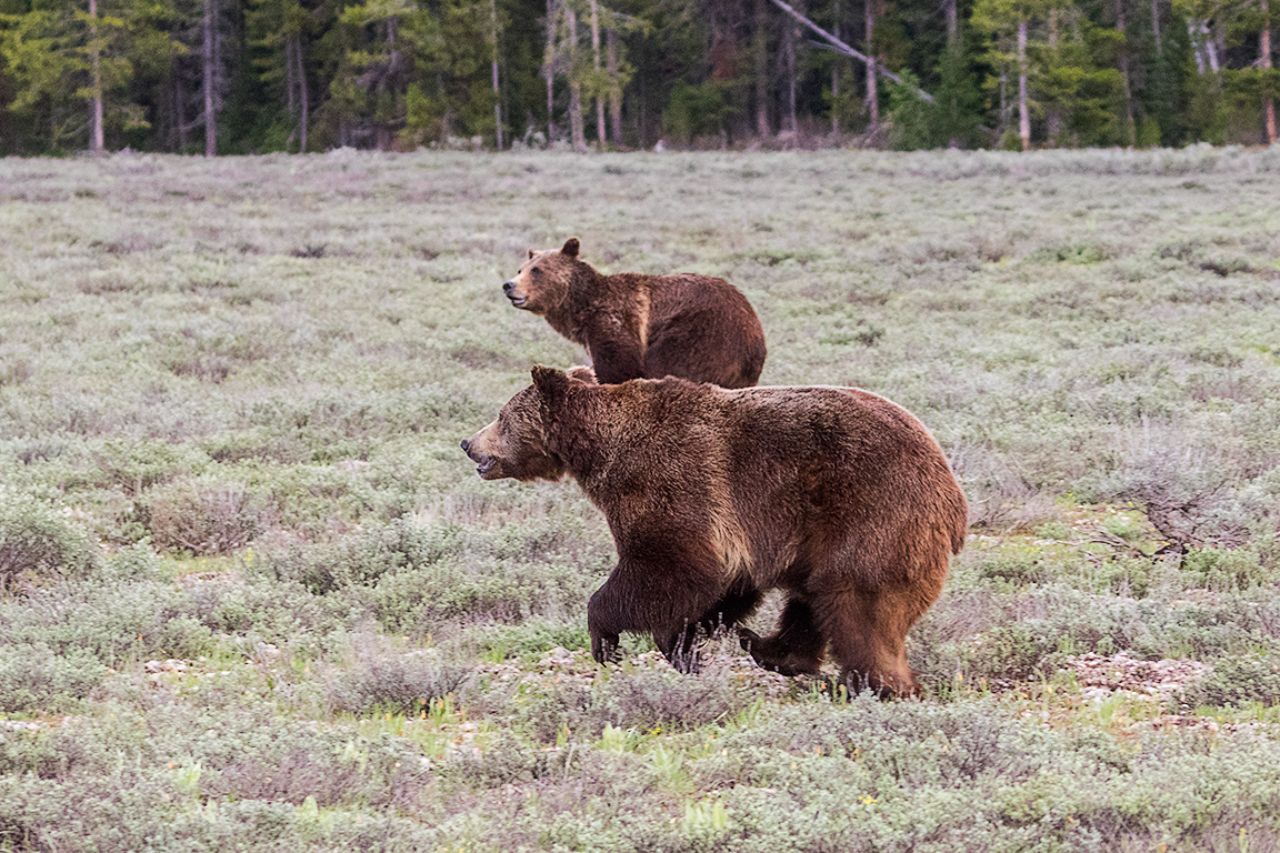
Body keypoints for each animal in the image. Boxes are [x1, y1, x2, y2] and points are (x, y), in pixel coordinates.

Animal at [460, 366, 968, 697]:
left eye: (502, 416)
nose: (468, 443)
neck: (599, 449)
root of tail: (954, 496)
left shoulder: (667, 481)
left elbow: (669, 568)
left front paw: (608, 639)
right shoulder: (735, 532)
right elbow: (721, 585)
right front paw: (689, 646)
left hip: (870, 516)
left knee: (858, 606)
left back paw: (877, 685)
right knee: (813, 598)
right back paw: (769, 649)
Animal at [501, 238, 767, 388]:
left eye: (537, 270)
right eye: (521, 269)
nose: (509, 285)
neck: (583, 308)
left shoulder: (614, 323)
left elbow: (619, 368)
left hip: (700, 335)